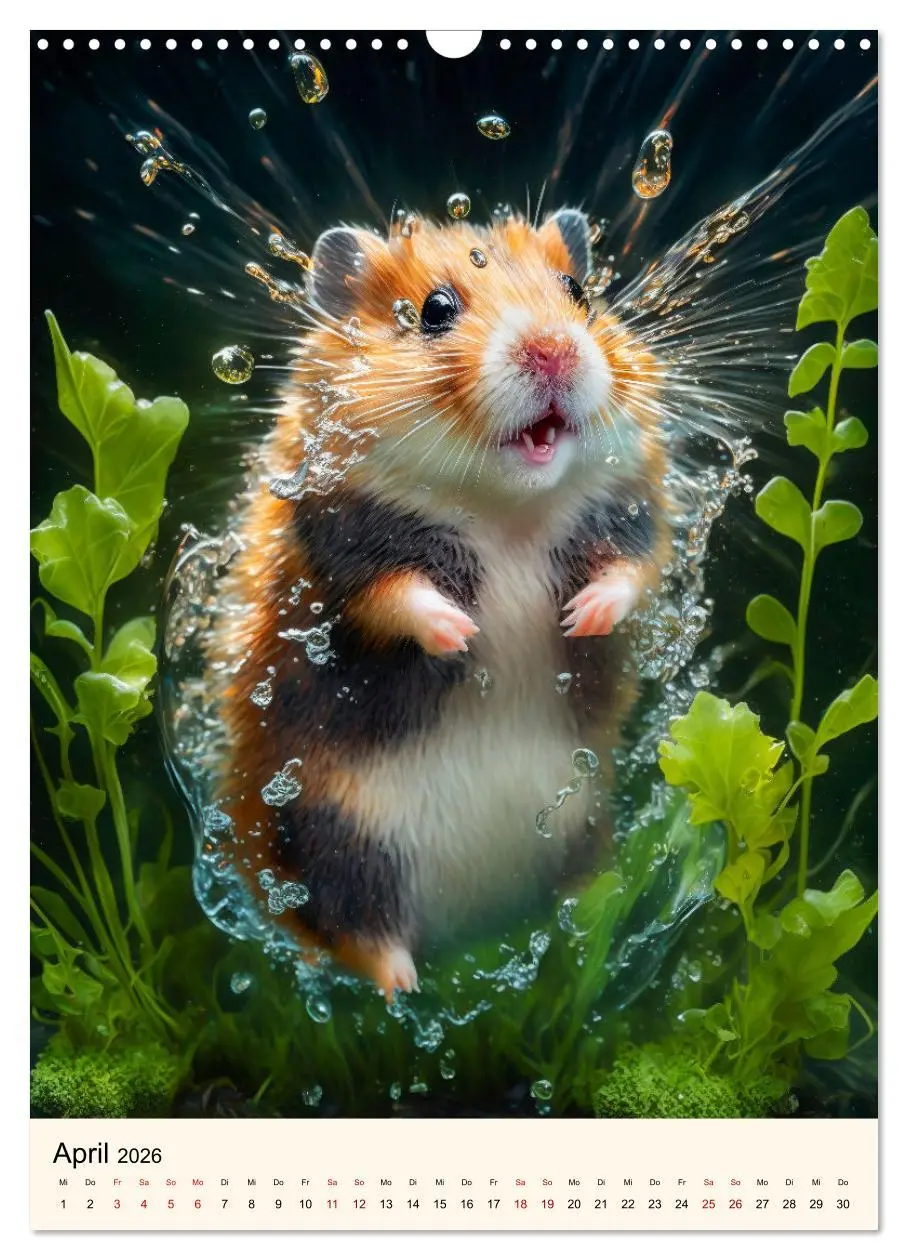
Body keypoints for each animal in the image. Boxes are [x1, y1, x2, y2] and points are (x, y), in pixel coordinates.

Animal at [205, 209, 670, 999]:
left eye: (578, 293)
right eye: (434, 310)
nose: (553, 351)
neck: (507, 510)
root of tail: (475, 929)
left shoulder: (630, 504)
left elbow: (633, 570)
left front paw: (582, 615)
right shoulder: (344, 537)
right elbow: (397, 596)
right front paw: (464, 630)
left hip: (584, 819)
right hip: (340, 834)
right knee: (358, 927)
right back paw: (402, 985)